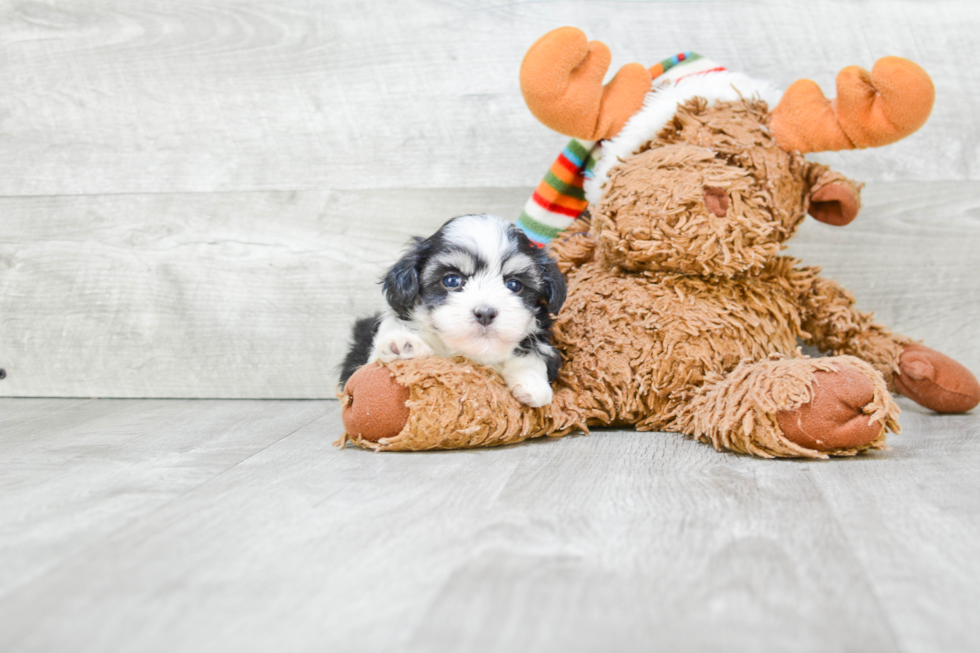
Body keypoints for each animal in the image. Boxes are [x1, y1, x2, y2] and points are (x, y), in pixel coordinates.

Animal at [336, 214, 568, 404]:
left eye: (514, 285)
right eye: (452, 280)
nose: (485, 313)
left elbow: (534, 357)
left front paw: (533, 384)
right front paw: (402, 345)